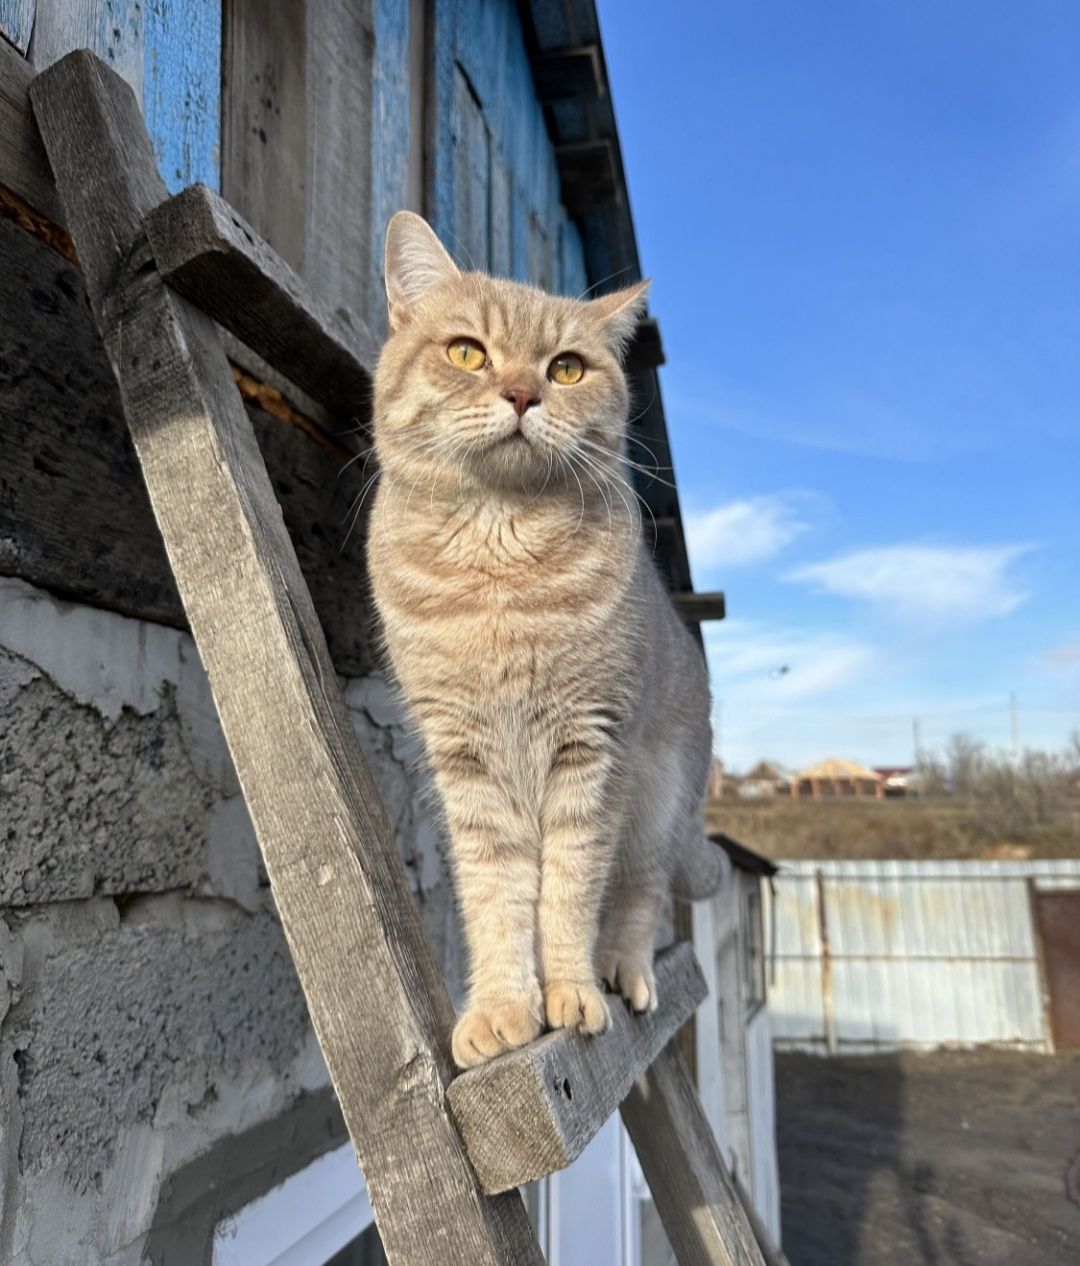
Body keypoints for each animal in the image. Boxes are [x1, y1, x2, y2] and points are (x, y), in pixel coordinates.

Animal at [367, 210, 729, 1068]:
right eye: (467, 352)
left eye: (566, 368)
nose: (524, 394)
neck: (499, 567)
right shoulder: (465, 762)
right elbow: (498, 897)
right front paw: (503, 1006)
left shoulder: (590, 750)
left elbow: (569, 889)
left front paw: (570, 992)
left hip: (657, 802)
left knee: (638, 895)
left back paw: (623, 969)